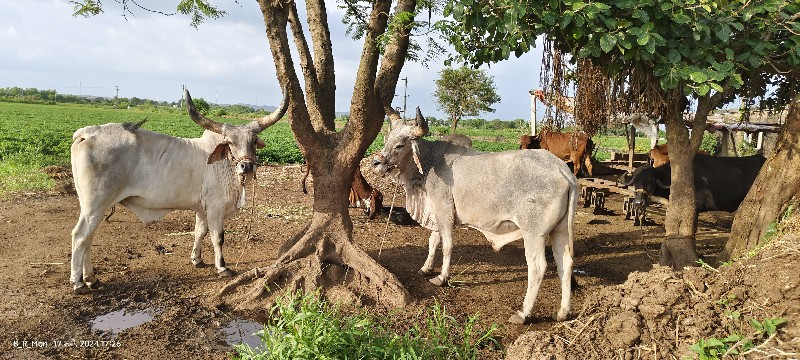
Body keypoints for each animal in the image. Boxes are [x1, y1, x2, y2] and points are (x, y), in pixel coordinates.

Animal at [68, 88, 288, 294]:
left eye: (254, 141)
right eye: (230, 142)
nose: (247, 166)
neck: (224, 163)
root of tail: (86, 133)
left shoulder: (202, 209)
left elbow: (200, 232)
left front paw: (197, 259)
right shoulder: (216, 208)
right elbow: (218, 237)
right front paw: (222, 267)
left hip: (94, 206)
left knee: (88, 238)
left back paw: (91, 279)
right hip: (95, 204)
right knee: (80, 236)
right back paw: (79, 283)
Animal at [372, 106, 580, 324]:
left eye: (400, 144)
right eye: (386, 138)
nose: (376, 162)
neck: (429, 164)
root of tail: (563, 171)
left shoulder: (444, 210)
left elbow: (447, 245)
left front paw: (442, 277)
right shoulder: (437, 213)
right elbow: (433, 241)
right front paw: (426, 268)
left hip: (534, 234)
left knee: (538, 267)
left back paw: (523, 313)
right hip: (560, 231)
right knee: (565, 264)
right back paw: (563, 312)